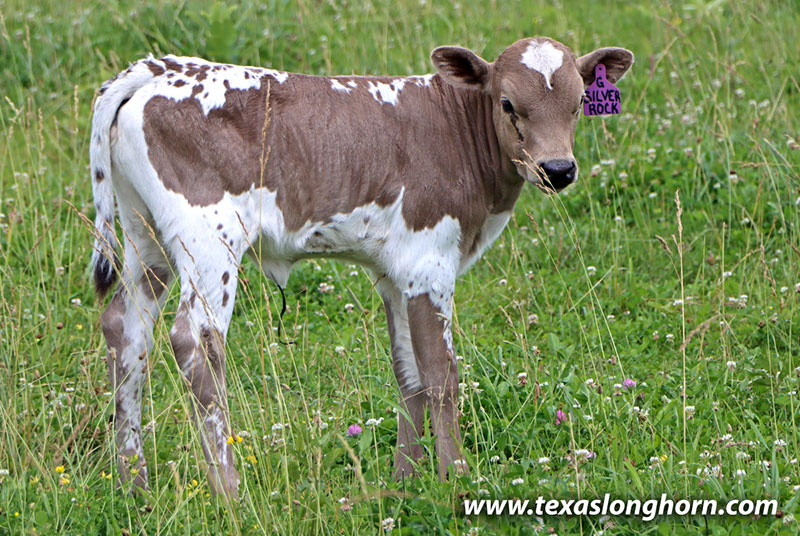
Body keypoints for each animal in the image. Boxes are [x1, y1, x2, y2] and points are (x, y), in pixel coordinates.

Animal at [90, 37, 633, 498]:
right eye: (507, 103)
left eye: (578, 103)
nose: (557, 170)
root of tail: (161, 69)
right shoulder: (429, 261)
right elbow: (442, 374)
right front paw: (457, 478)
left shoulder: (397, 274)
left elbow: (410, 373)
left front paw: (406, 481)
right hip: (209, 241)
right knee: (195, 340)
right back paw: (230, 492)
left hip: (146, 238)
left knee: (127, 329)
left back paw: (132, 484)